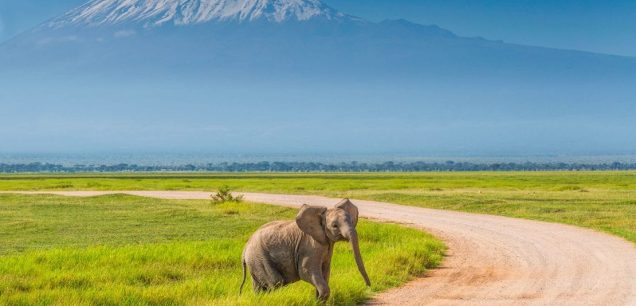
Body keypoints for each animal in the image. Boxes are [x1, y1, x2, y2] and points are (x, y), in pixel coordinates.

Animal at [238, 198, 370, 302]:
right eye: (335, 226)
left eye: (352, 221)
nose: (368, 286)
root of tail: (245, 248)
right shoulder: (310, 246)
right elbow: (306, 271)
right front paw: (318, 300)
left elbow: (325, 272)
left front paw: (318, 300)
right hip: (259, 259)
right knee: (276, 282)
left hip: (255, 262)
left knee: (259, 287)